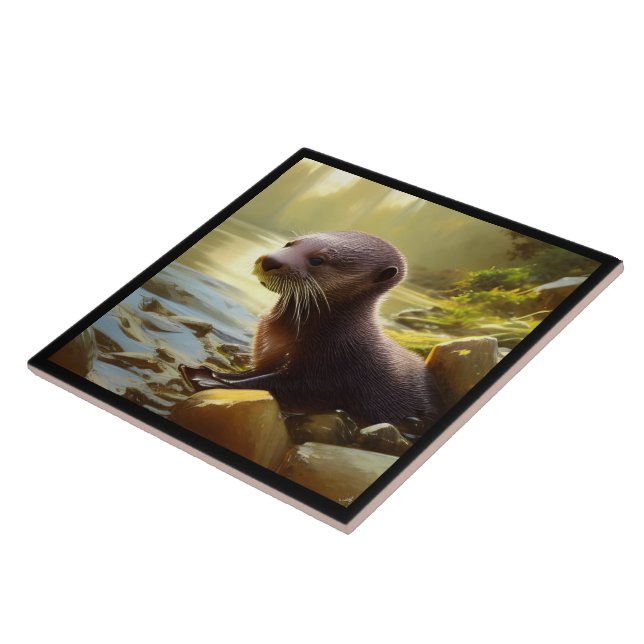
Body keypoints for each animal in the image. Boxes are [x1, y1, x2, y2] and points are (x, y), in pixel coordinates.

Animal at [180, 231, 441, 428]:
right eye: (289, 243)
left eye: (317, 260)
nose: (270, 260)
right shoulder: (269, 355)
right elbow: (255, 372)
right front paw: (215, 374)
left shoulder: (335, 370)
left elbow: (287, 387)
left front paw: (210, 380)